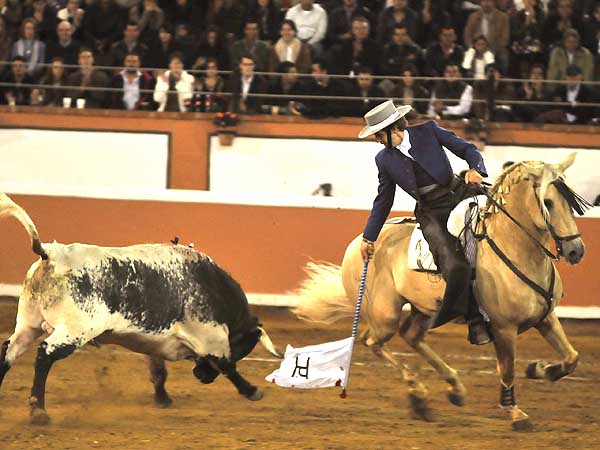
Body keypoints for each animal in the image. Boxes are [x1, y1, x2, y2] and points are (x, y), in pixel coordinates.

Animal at [0, 193, 282, 426]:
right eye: (243, 347)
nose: (202, 376)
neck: (214, 288)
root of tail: (51, 253)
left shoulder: (154, 343)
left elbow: (159, 372)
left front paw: (163, 400)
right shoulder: (212, 339)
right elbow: (228, 366)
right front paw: (253, 391)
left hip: (28, 324)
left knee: (8, 352)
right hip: (74, 331)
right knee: (44, 355)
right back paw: (38, 411)